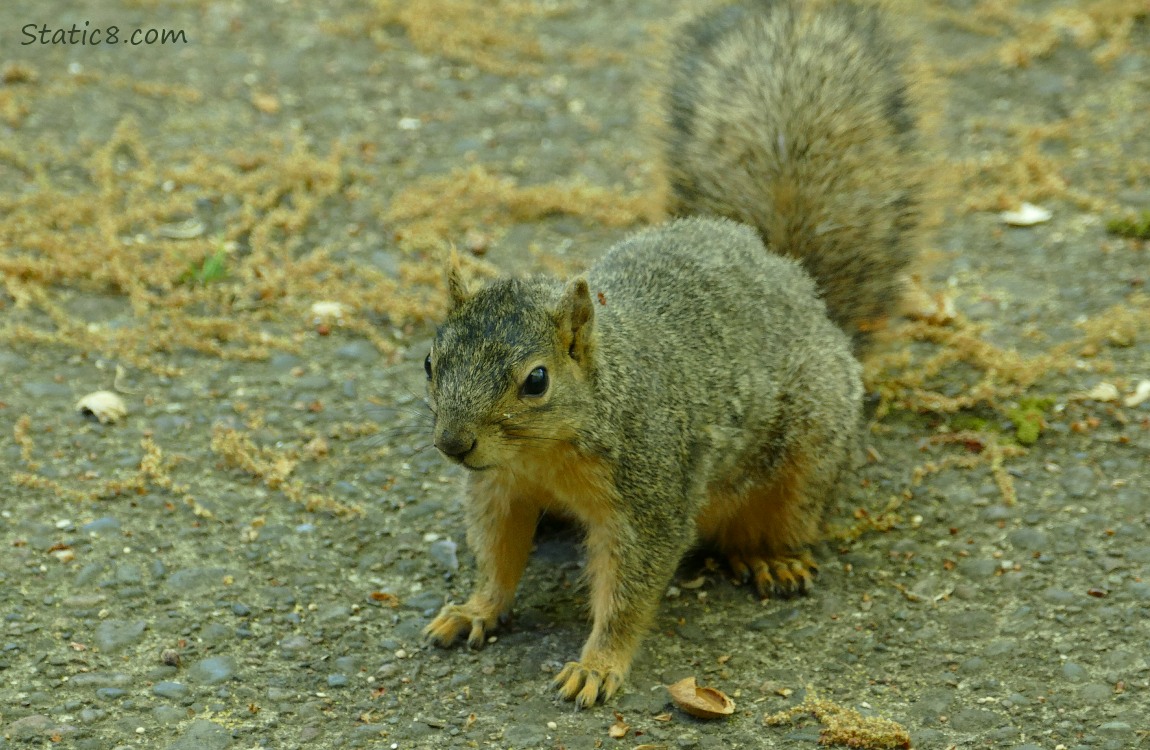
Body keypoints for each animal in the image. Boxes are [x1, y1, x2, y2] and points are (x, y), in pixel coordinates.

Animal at [420, 0, 915, 703]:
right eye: (430, 363)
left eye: (536, 380)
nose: (453, 444)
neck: (546, 453)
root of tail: (798, 282)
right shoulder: (501, 487)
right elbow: (497, 554)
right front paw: (475, 608)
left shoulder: (652, 495)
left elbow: (629, 590)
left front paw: (598, 664)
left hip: (810, 456)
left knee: (786, 515)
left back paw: (772, 558)